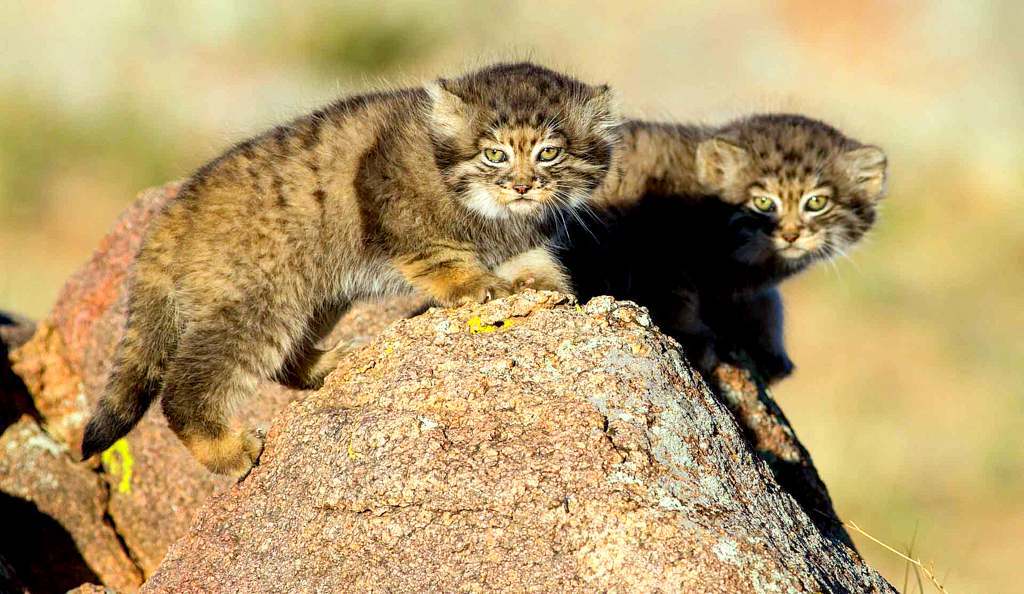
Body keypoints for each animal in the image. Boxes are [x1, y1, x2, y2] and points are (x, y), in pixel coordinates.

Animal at [561, 113, 888, 383]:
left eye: (817, 202)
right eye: (763, 202)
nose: (791, 235)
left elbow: (770, 300)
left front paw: (769, 348)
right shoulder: (662, 251)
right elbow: (675, 296)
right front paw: (693, 340)